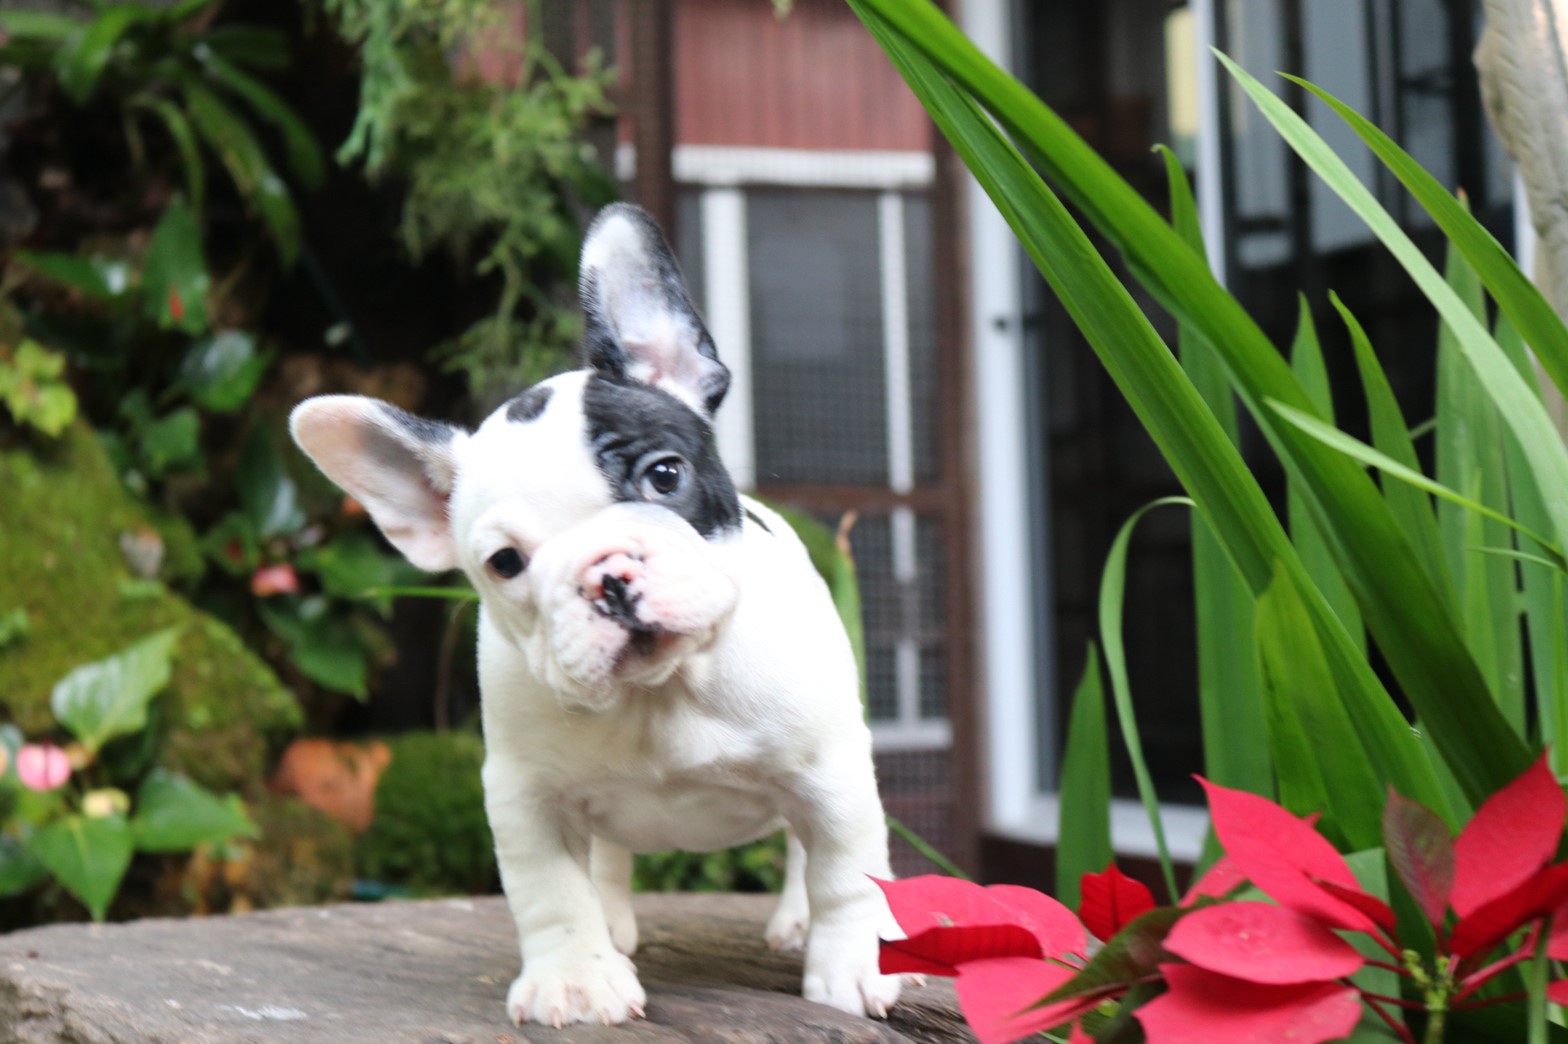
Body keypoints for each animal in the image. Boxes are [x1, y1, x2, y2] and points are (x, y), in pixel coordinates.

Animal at [289, 203, 902, 1027]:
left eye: (664, 475)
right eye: (505, 562)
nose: (605, 576)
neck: (662, 692)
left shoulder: (828, 769)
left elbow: (845, 868)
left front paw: (853, 964)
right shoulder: (523, 795)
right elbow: (551, 891)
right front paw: (577, 977)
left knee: (805, 853)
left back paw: (794, 921)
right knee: (606, 856)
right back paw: (613, 924)